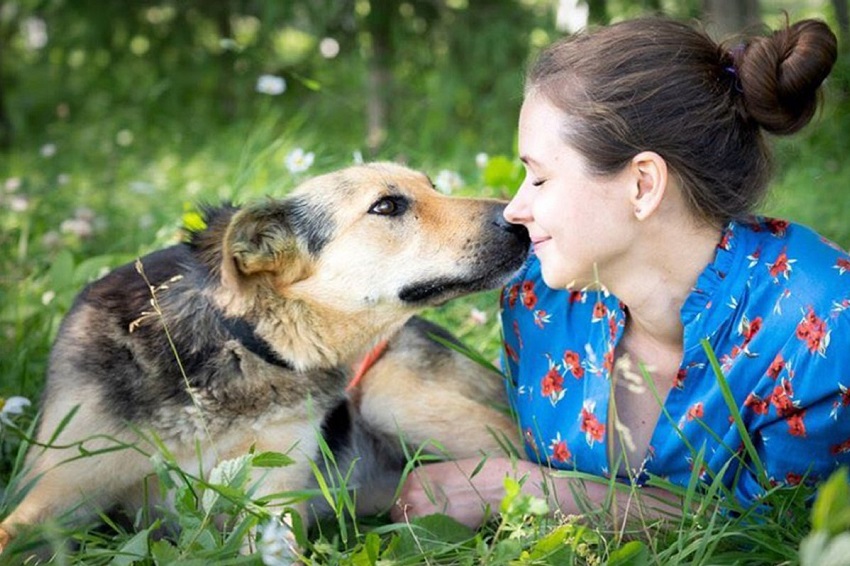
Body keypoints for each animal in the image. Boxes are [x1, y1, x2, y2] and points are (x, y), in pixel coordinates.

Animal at [0, 162, 528, 556]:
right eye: (387, 206)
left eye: (432, 186)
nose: (520, 219)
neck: (237, 347)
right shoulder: (53, 489)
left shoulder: (273, 502)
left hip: (393, 399)